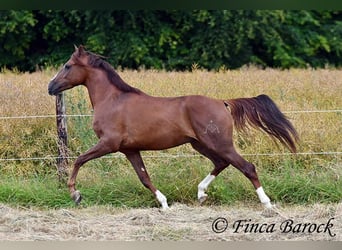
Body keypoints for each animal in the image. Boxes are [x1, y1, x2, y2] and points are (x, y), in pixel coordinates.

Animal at [48, 45, 300, 209]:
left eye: (67, 66)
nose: (51, 87)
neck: (112, 100)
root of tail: (222, 102)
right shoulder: (130, 149)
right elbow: (144, 177)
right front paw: (164, 203)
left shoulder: (108, 143)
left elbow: (79, 159)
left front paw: (76, 195)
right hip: (200, 144)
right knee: (222, 163)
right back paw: (201, 194)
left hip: (219, 143)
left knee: (247, 166)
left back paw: (266, 203)